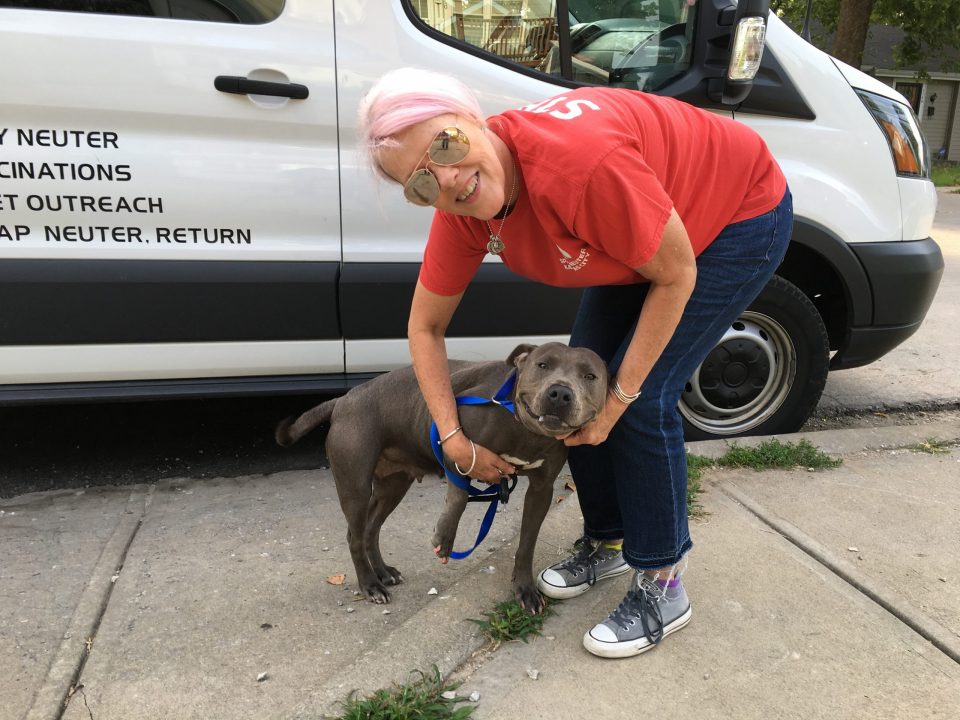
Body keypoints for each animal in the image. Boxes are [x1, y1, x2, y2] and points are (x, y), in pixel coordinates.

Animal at [276, 344, 608, 612]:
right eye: (543, 365)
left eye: (590, 376)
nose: (560, 392)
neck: (523, 428)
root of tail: (343, 400)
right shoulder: (453, 443)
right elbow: (459, 494)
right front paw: (445, 538)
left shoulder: (541, 490)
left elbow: (527, 543)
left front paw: (525, 589)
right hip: (354, 486)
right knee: (355, 536)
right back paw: (370, 584)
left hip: (393, 486)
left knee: (371, 529)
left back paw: (383, 572)